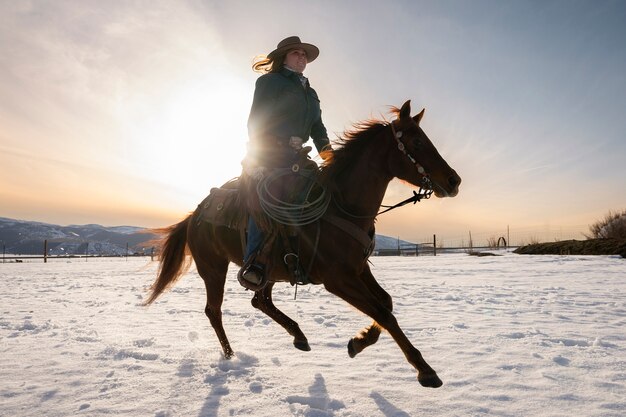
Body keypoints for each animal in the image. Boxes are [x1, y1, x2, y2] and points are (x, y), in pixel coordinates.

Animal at [145, 100, 458, 386]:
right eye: (417, 141)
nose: (454, 181)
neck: (342, 205)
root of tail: (194, 214)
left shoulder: (359, 269)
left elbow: (386, 303)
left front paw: (358, 342)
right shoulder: (338, 279)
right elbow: (384, 313)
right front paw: (425, 370)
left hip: (268, 269)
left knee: (260, 300)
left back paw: (298, 335)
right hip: (213, 267)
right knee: (215, 311)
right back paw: (231, 355)